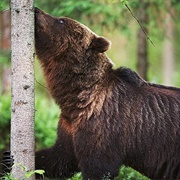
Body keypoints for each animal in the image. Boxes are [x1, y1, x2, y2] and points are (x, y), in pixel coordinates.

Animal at [34, 7, 180, 180]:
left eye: (61, 20)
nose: (36, 10)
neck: (77, 96)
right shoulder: (70, 126)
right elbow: (59, 157)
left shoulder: (103, 125)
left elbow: (97, 166)